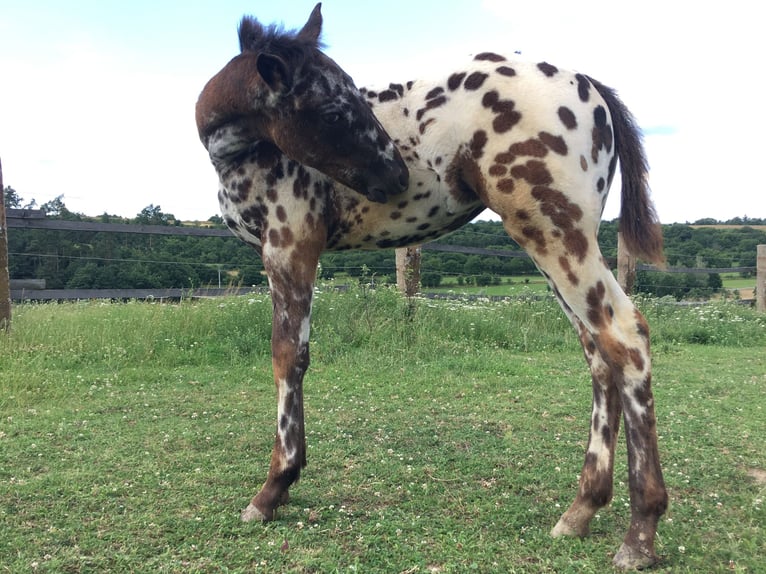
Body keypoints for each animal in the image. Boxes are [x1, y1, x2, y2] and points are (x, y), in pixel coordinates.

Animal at [198, 5, 672, 572]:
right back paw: (580, 512)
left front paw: (272, 491)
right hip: (559, 241)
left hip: (555, 233)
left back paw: (639, 534)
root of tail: (588, 83)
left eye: (350, 98)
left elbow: (288, 356)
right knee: (599, 355)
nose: (395, 176)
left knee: (626, 335)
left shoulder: (291, 246)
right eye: (333, 110)